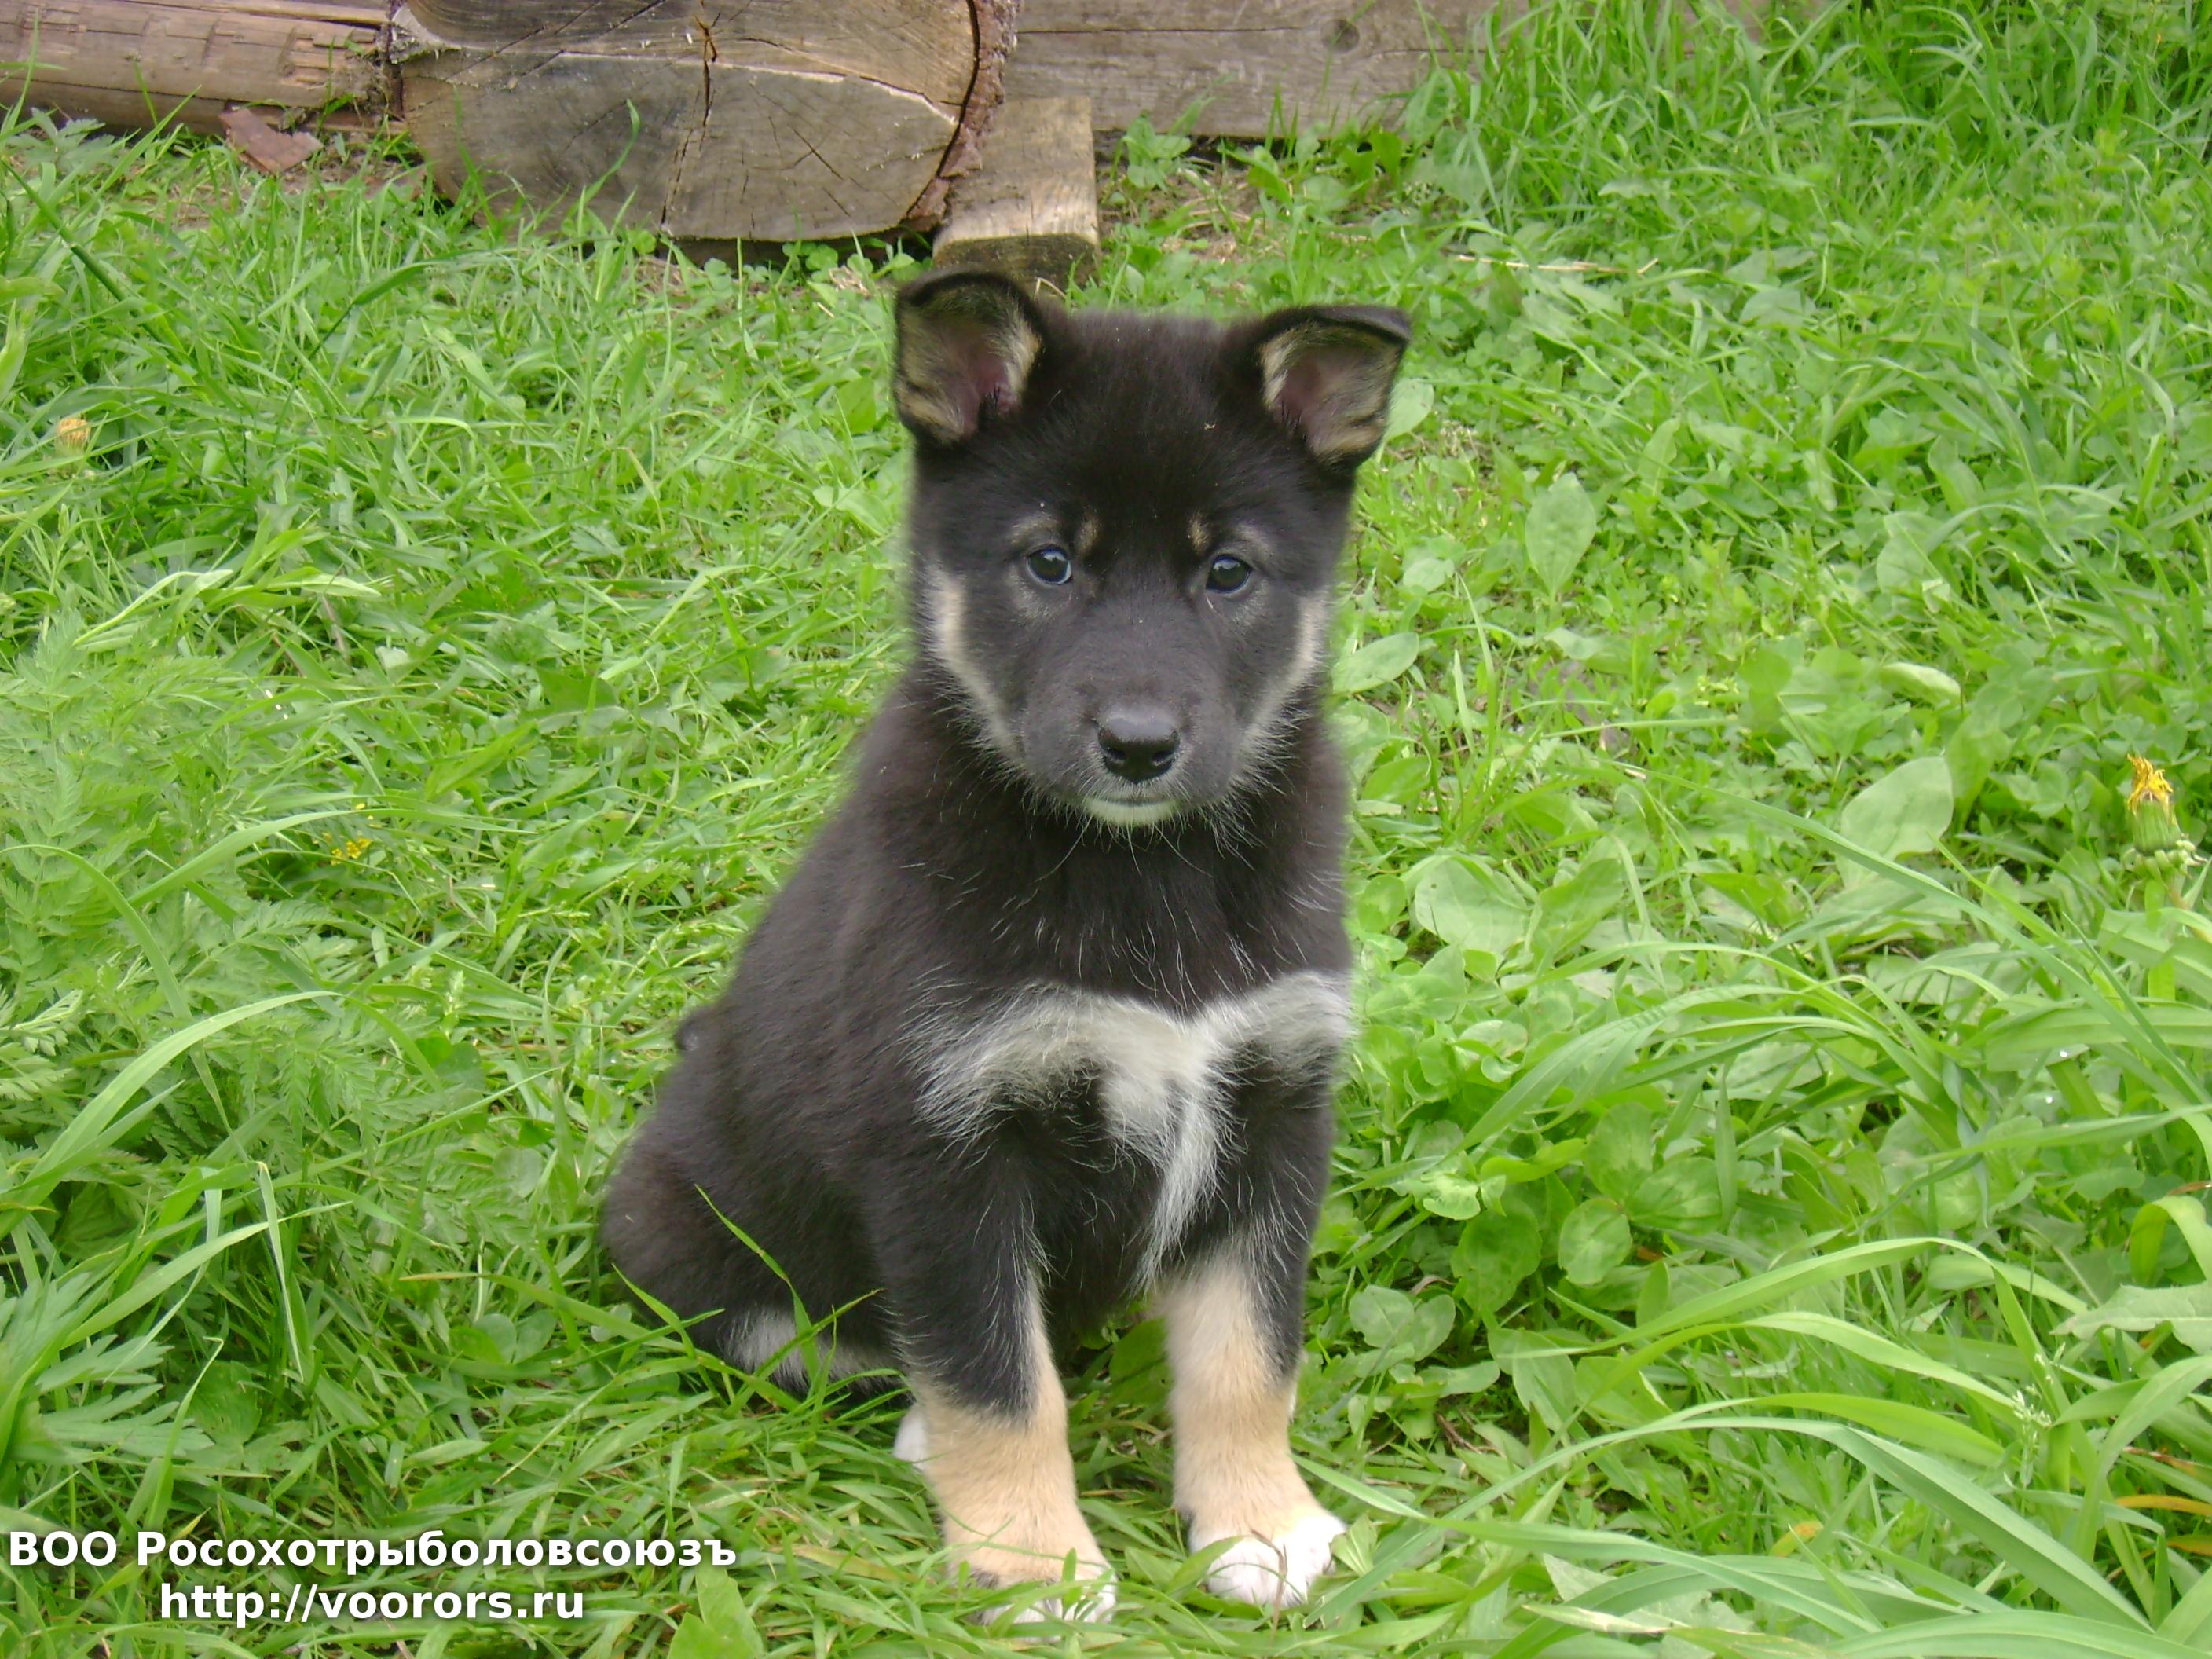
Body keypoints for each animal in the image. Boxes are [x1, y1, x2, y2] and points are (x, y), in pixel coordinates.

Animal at [602, 268, 1407, 1615]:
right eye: (1048, 563)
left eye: (1228, 573)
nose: (1138, 744)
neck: (1143, 874)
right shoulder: (946, 1146)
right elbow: (996, 1379)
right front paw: (1034, 1564)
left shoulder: (1275, 1107)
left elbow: (1252, 1353)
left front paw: (1259, 1521)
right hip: (698, 1240)